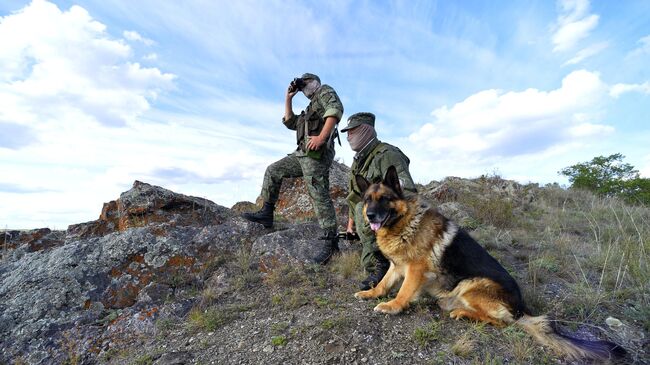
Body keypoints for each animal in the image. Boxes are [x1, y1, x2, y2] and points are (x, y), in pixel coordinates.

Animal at [352, 166, 624, 362]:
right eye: (367, 200)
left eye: (385, 199)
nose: (370, 215)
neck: (403, 222)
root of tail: (521, 309)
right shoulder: (396, 266)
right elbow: (384, 284)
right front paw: (370, 294)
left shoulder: (415, 270)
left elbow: (404, 291)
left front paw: (392, 307)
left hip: (472, 285)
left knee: (501, 321)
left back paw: (463, 313)